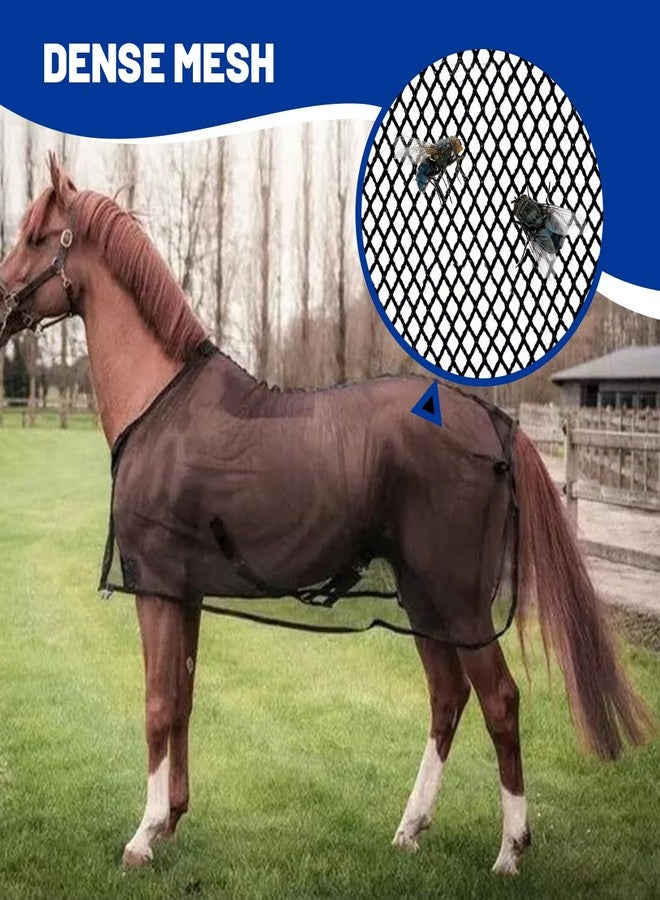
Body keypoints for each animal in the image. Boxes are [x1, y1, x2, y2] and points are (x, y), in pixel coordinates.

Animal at [0, 154, 650, 876]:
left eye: (36, 237)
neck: (160, 403)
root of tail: (491, 419)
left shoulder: (158, 589)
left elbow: (158, 703)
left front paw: (143, 835)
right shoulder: (186, 595)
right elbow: (185, 700)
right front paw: (171, 819)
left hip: (457, 601)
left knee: (500, 700)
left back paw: (509, 850)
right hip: (423, 598)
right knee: (447, 697)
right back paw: (411, 828)